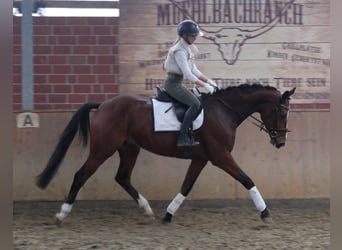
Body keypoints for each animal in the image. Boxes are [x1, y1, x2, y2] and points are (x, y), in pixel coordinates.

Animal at [36, 84, 296, 225]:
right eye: (283, 113)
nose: (281, 142)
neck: (224, 111)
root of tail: (102, 105)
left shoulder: (201, 158)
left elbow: (186, 186)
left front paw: (168, 215)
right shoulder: (220, 156)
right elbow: (247, 180)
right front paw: (265, 213)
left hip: (129, 148)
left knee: (122, 177)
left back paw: (147, 209)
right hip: (103, 149)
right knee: (81, 175)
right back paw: (62, 214)